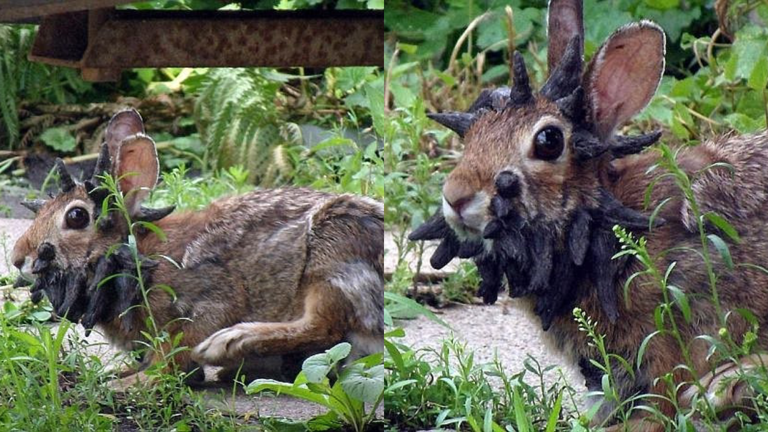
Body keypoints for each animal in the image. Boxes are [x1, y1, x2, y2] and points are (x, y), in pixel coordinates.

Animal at [10, 109, 384, 389]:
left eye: (76, 217)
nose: (17, 259)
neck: (138, 253)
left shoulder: (207, 302)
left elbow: (175, 355)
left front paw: (130, 383)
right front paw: (121, 374)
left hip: (331, 254)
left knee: (324, 326)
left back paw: (229, 344)